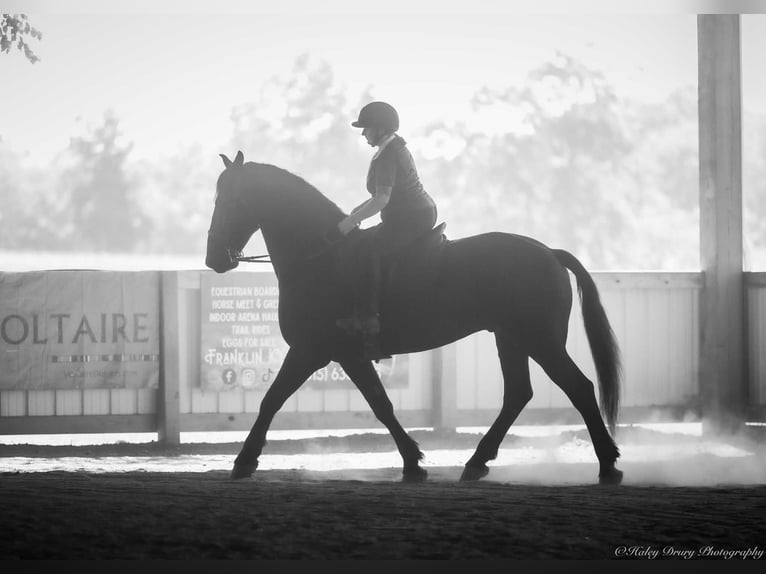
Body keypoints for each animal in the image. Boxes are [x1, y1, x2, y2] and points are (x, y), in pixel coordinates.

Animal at [206, 150, 624, 485]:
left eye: (229, 200)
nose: (214, 259)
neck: (323, 256)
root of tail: (550, 252)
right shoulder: (346, 356)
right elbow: (380, 405)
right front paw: (413, 462)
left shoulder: (314, 351)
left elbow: (273, 400)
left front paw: (244, 461)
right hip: (511, 338)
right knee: (518, 393)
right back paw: (477, 462)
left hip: (541, 339)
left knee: (579, 388)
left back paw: (609, 465)